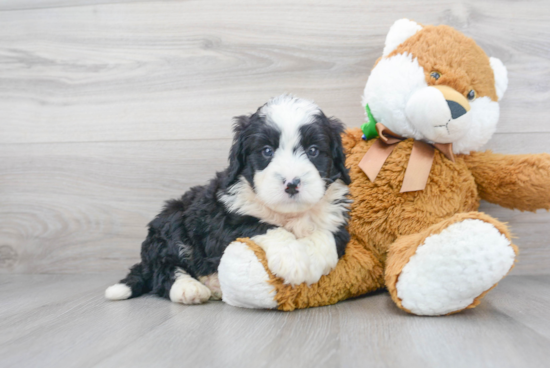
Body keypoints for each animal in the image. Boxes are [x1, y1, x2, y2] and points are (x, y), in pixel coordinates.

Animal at [105, 95, 352, 304]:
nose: (291, 183)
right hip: (171, 219)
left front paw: (313, 262)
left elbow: (327, 236)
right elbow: (263, 226)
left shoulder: (336, 217)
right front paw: (293, 260)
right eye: (267, 151)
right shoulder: (224, 220)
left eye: (313, 151)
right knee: (163, 269)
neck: (288, 214)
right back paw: (189, 288)